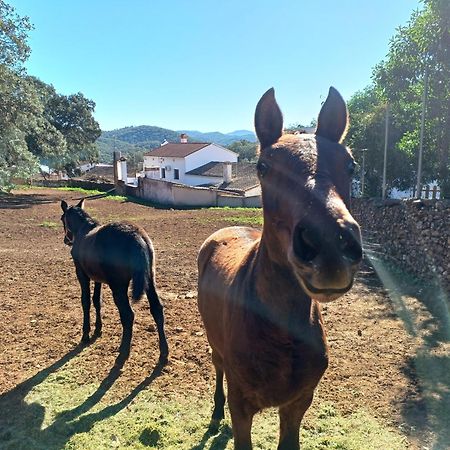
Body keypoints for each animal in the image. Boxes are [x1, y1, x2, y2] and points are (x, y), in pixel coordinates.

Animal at [60, 199, 168, 364]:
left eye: (62, 219)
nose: (66, 240)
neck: (83, 231)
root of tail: (137, 237)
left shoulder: (82, 274)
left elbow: (86, 301)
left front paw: (85, 334)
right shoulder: (97, 278)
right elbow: (97, 300)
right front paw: (98, 329)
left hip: (119, 286)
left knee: (128, 315)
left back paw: (123, 351)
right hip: (149, 280)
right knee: (157, 309)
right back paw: (164, 353)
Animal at [197, 88, 362, 450]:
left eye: (351, 165)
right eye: (263, 167)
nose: (329, 245)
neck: (281, 333)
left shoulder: (297, 404)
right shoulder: (242, 406)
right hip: (216, 346)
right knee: (217, 368)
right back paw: (215, 414)